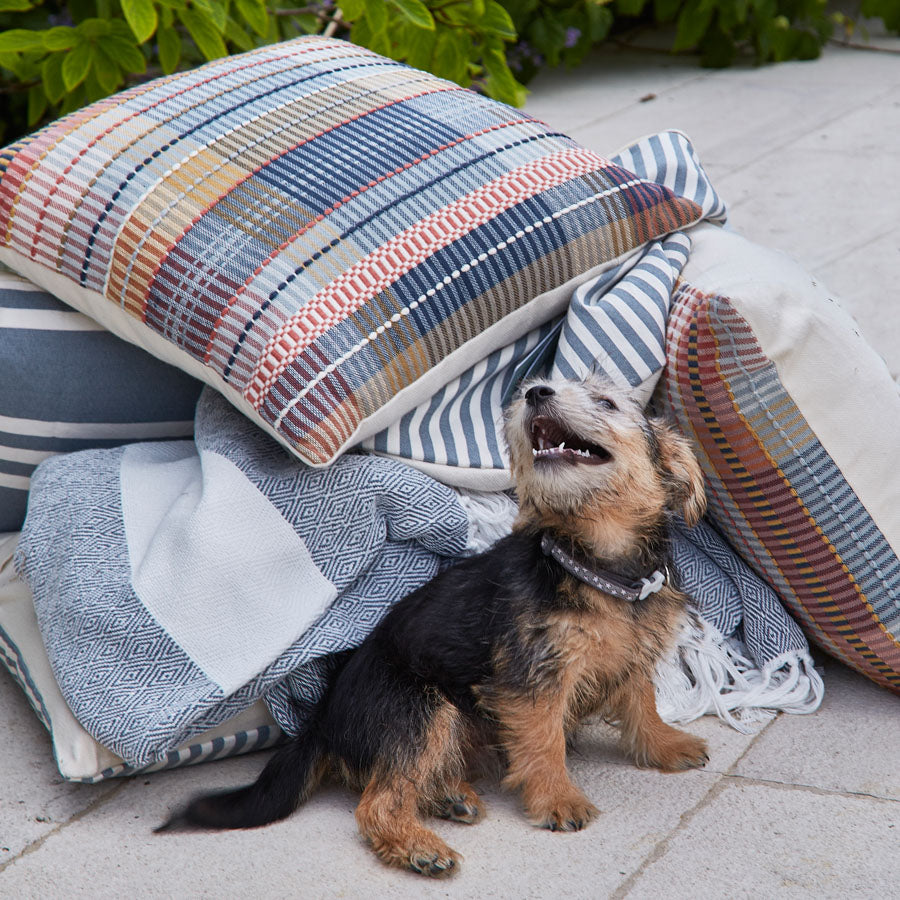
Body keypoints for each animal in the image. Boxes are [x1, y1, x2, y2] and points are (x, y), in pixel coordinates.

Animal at [160, 376, 712, 876]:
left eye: (606, 402)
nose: (535, 391)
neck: (597, 565)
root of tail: (322, 722)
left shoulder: (634, 651)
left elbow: (641, 701)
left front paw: (666, 745)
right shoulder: (533, 680)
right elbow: (545, 741)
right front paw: (558, 799)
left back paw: (447, 797)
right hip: (420, 707)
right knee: (377, 800)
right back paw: (418, 846)